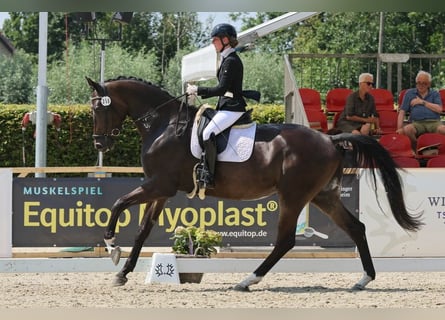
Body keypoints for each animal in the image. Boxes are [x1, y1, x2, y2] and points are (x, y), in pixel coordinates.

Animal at [85, 76, 422, 292]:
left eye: (98, 108)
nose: (100, 144)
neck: (164, 124)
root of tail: (330, 139)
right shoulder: (160, 190)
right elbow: (142, 231)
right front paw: (123, 273)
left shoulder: (159, 186)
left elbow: (118, 204)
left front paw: (112, 247)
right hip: (323, 196)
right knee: (356, 228)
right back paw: (364, 279)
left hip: (293, 196)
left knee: (285, 241)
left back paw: (248, 280)